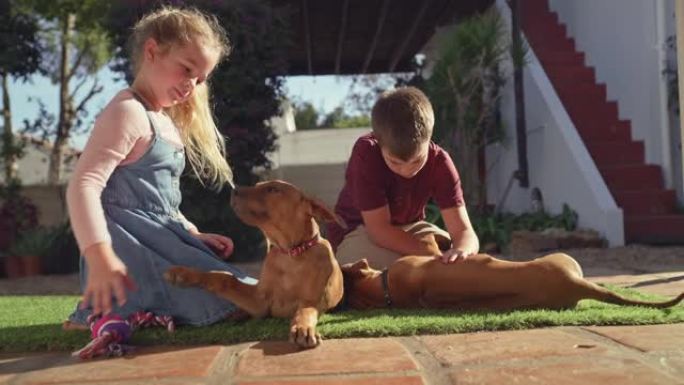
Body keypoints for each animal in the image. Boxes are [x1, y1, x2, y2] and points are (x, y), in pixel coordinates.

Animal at [165, 180, 344, 348]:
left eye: (272, 189)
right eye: (257, 185)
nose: (234, 190)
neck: (290, 254)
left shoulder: (311, 300)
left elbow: (305, 311)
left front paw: (303, 328)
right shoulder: (260, 302)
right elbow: (224, 278)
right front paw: (182, 273)